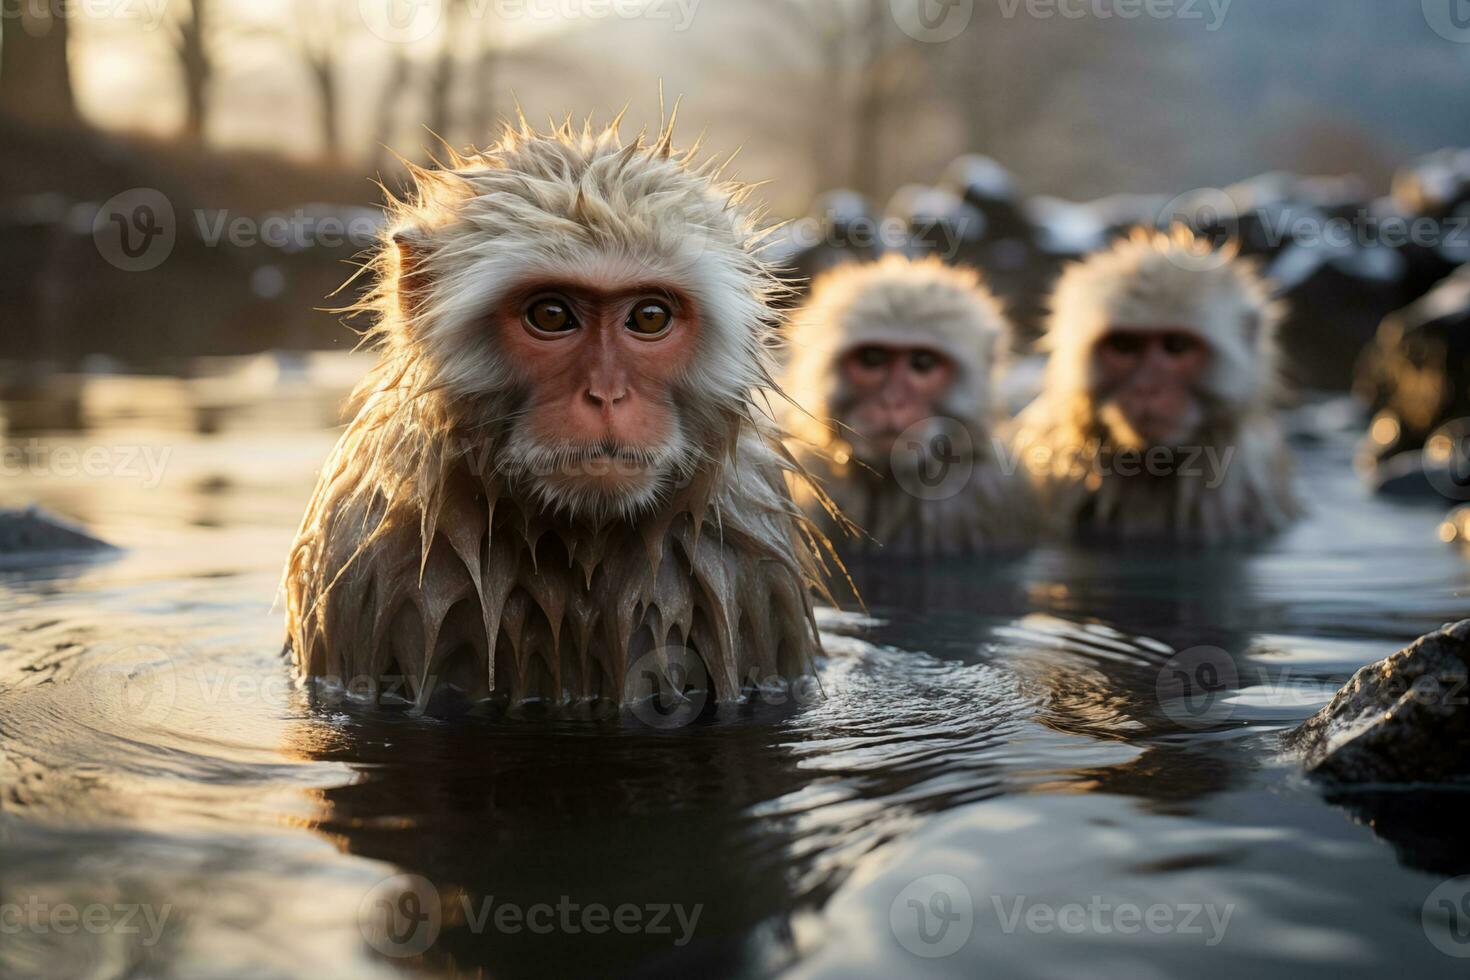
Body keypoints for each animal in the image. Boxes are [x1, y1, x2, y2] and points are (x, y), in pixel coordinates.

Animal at [286, 116, 840, 714]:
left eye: (649, 317)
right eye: (551, 315)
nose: (606, 395)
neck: (579, 538)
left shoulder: (751, 564)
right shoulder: (361, 562)